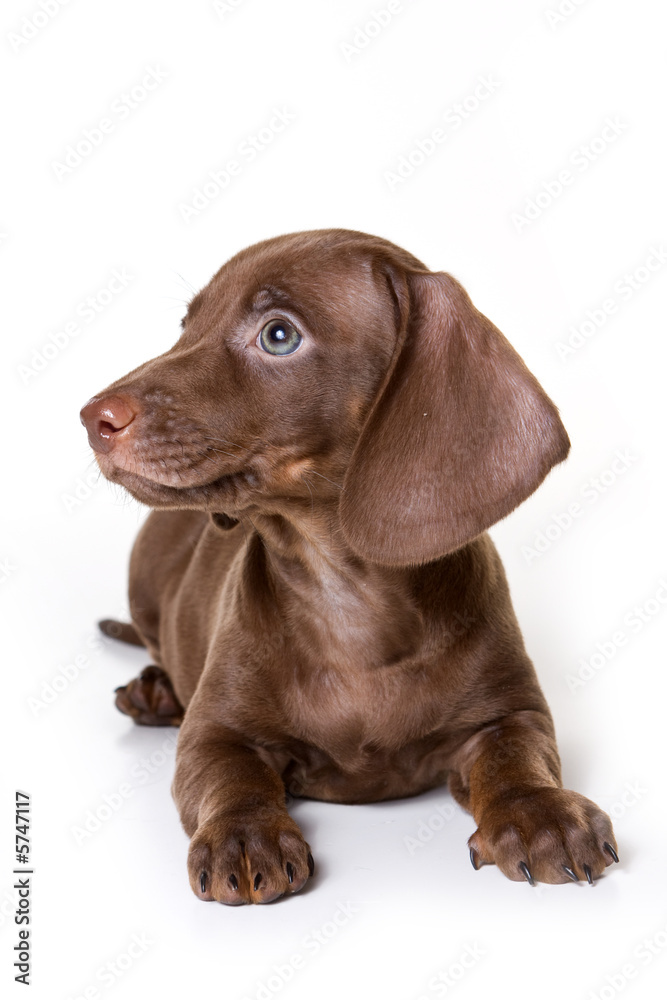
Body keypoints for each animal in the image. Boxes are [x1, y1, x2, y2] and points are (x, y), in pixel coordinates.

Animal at [81, 230, 620, 904]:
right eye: (187, 326)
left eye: (278, 335)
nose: (92, 419)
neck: (346, 597)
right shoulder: (215, 733)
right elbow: (231, 777)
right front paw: (244, 834)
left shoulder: (509, 713)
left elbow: (514, 757)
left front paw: (539, 813)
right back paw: (154, 692)